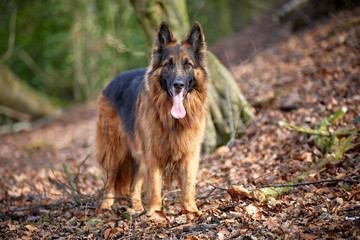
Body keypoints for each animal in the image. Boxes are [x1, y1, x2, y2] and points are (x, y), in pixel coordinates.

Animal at [94, 21, 210, 216]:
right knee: (110, 181)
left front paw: (190, 210)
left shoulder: (189, 153)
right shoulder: (153, 154)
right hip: (115, 151)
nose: (178, 85)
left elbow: (188, 185)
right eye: (168, 64)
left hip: (138, 157)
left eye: (188, 65)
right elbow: (155, 186)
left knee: (133, 186)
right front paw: (155, 213)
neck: (173, 121)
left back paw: (137, 209)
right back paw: (106, 206)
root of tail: (110, 83)